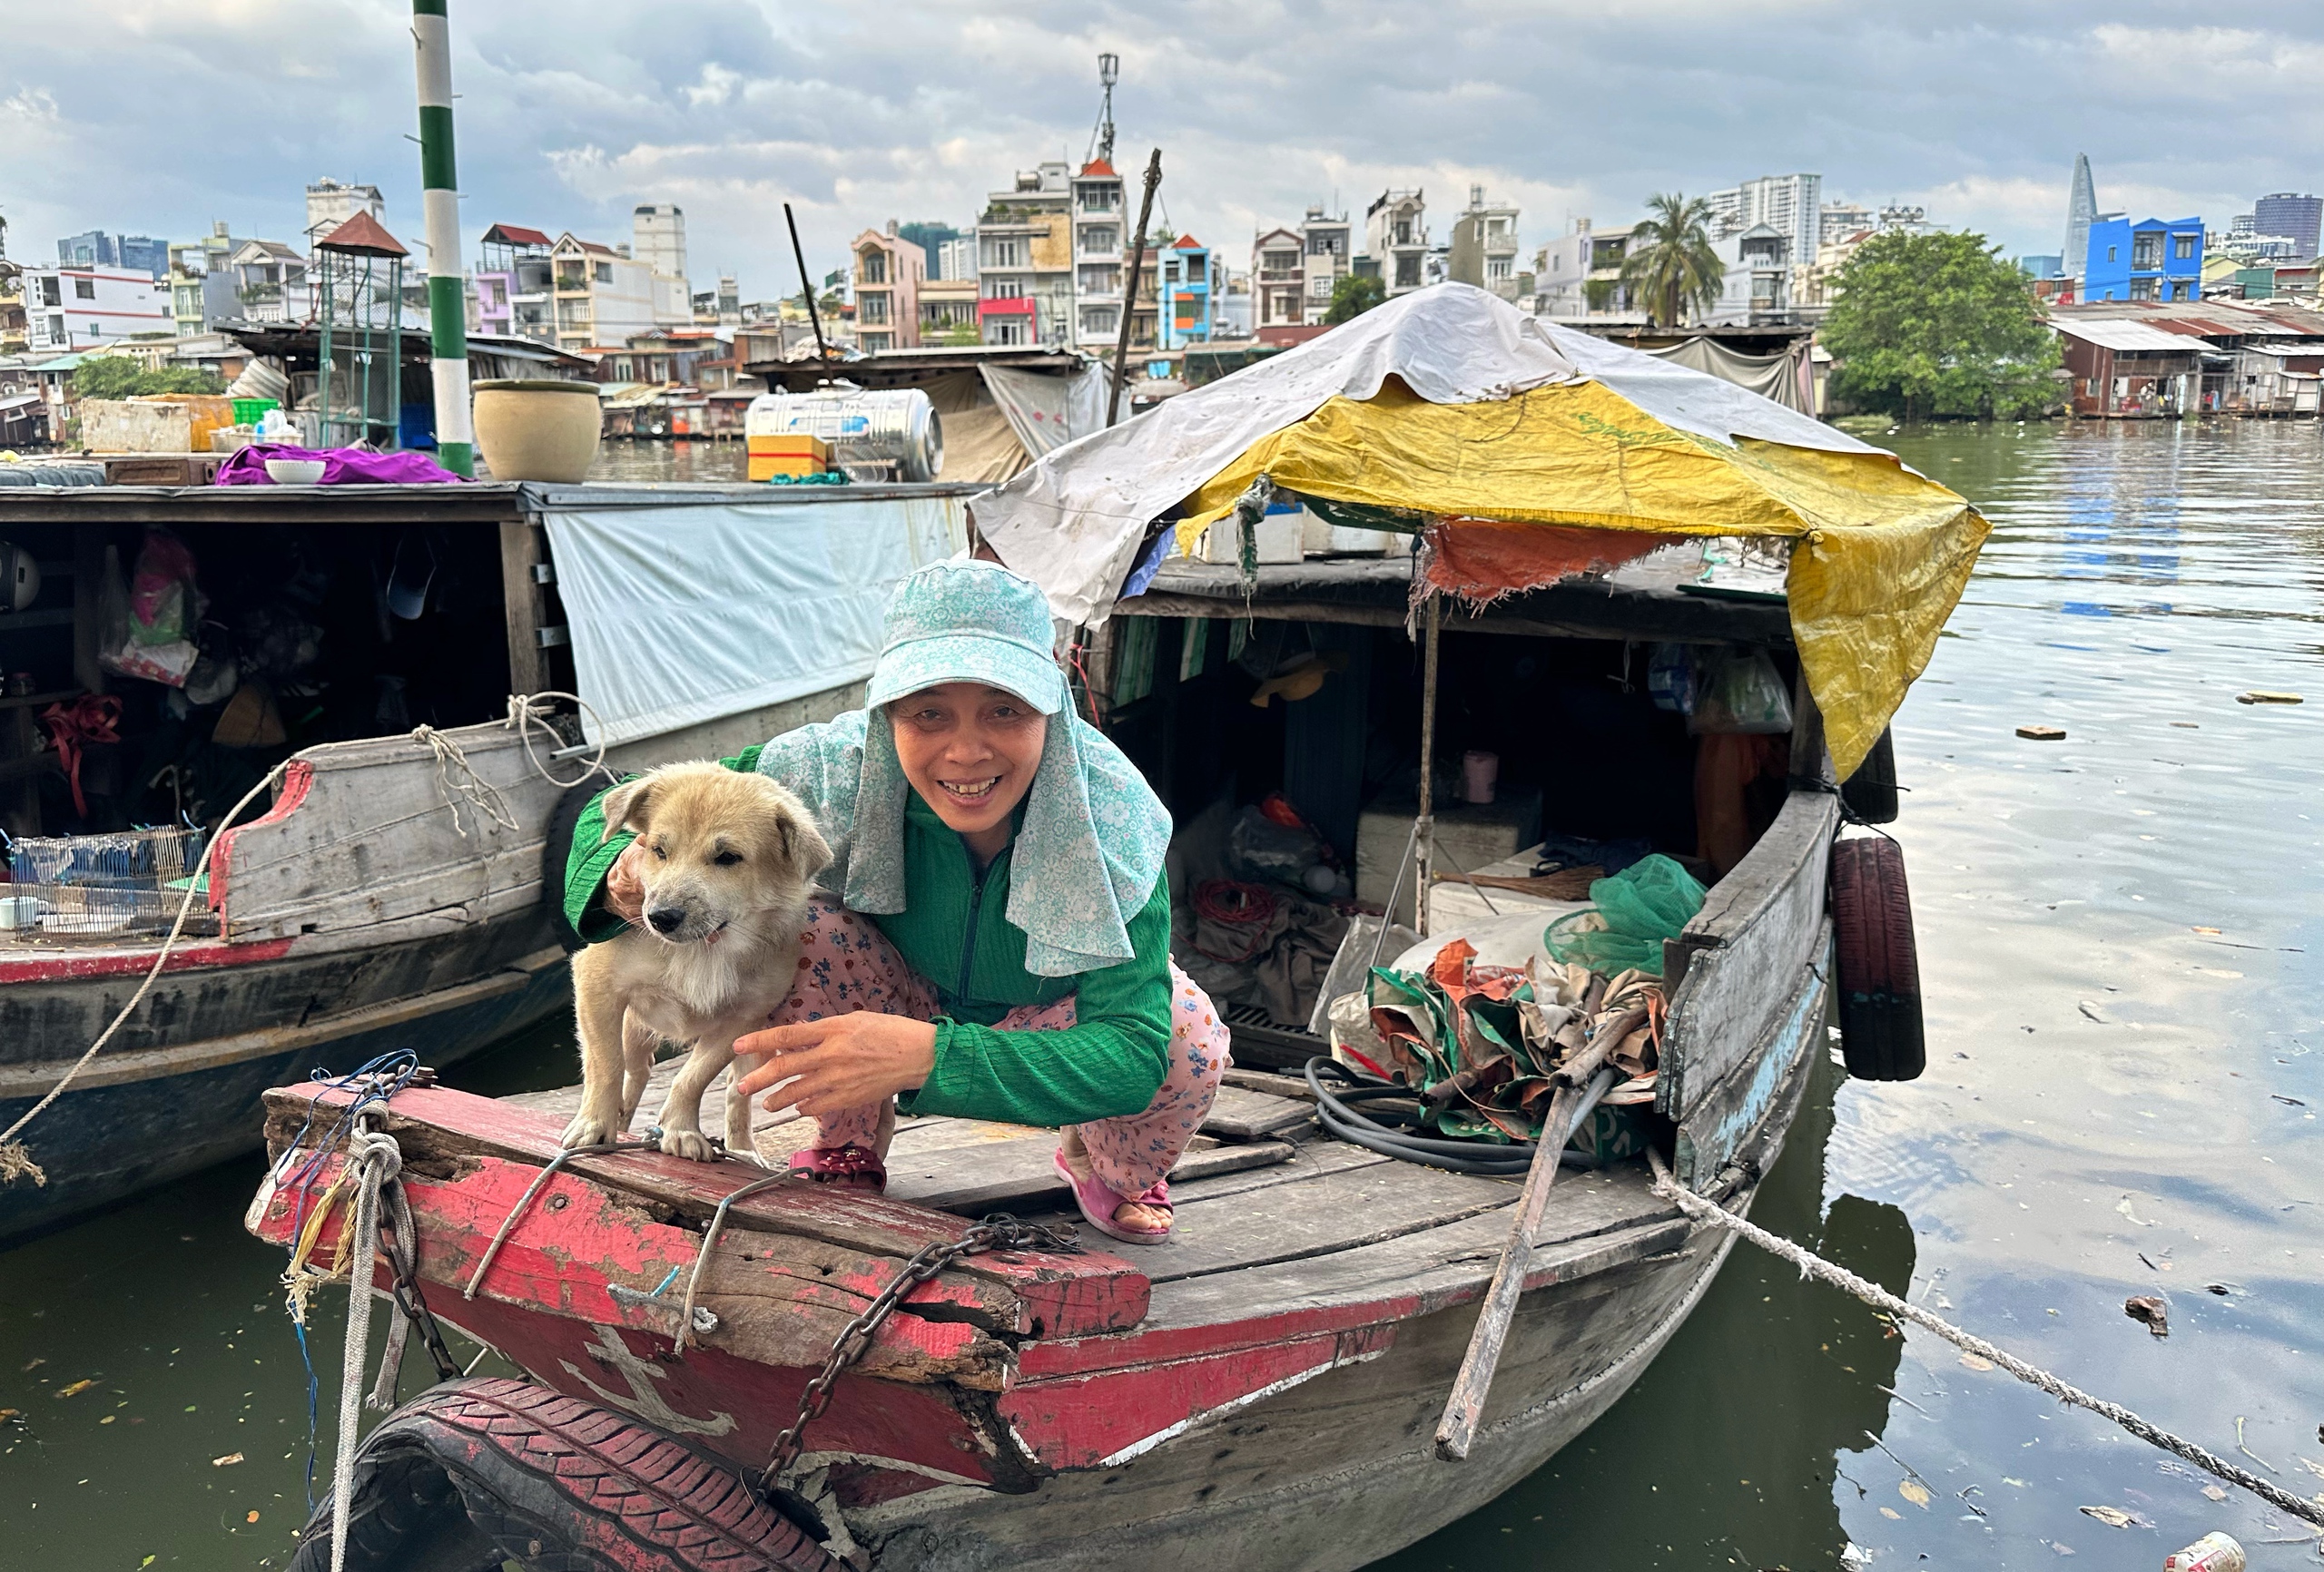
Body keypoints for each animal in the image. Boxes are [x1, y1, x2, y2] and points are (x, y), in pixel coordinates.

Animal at [562, 761, 836, 1151]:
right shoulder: (596, 984)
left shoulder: (742, 1020)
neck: (705, 949)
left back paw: (743, 1149)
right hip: (635, 1029)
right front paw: (594, 1124)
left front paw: (680, 1129)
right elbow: (606, 1064)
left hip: (759, 1047)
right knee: (636, 1070)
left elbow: (693, 1078)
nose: (661, 917)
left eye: (728, 857)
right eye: (659, 850)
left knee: (737, 1093)